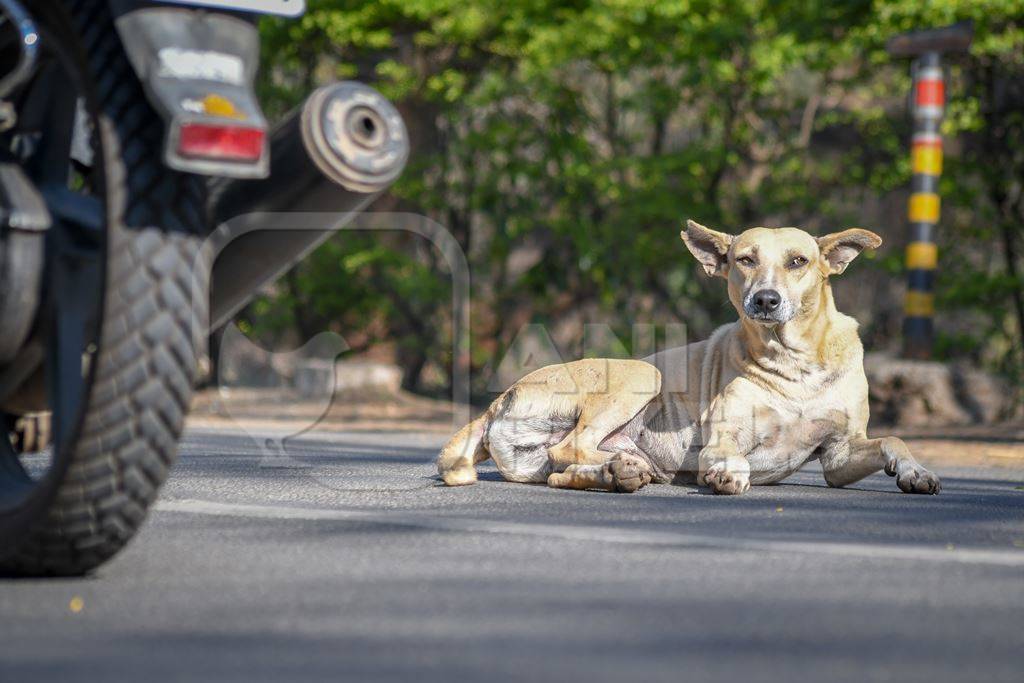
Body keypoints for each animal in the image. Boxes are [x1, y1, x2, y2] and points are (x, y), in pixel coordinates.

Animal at [436, 223, 937, 497]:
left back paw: (617, 473)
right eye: (744, 260)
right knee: (571, 447)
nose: (765, 300)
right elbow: (729, 454)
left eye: (799, 261)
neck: (793, 365)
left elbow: (893, 440)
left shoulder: (839, 455)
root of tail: (496, 403)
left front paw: (917, 472)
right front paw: (726, 473)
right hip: (644, 372)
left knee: (564, 472)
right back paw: (625, 468)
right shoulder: (725, 436)